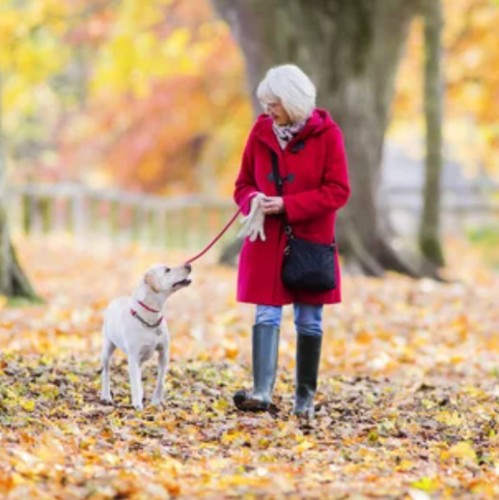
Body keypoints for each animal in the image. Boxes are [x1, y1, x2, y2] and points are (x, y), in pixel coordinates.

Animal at [99, 262, 191, 410]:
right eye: (167, 270)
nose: (188, 265)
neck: (150, 318)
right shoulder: (133, 356)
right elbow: (135, 383)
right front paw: (137, 404)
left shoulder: (164, 353)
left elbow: (160, 381)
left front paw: (156, 401)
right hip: (107, 349)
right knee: (106, 373)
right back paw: (106, 396)